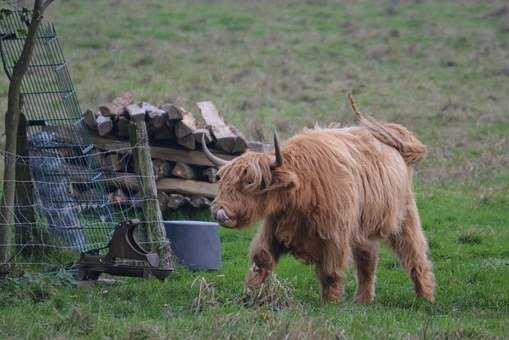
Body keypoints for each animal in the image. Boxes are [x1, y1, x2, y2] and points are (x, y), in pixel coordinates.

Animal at [200, 95, 434, 302]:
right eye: (222, 180)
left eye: (250, 183)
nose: (219, 211)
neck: (301, 192)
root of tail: (397, 138)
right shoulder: (273, 226)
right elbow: (261, 259)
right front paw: (250, 293)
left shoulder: (335, 236)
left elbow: (330, 272)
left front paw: (330, 302)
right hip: (361, 228)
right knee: (367, 260)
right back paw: (363, 300)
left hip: (404, 216)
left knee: (414, 254)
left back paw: (425, 297)